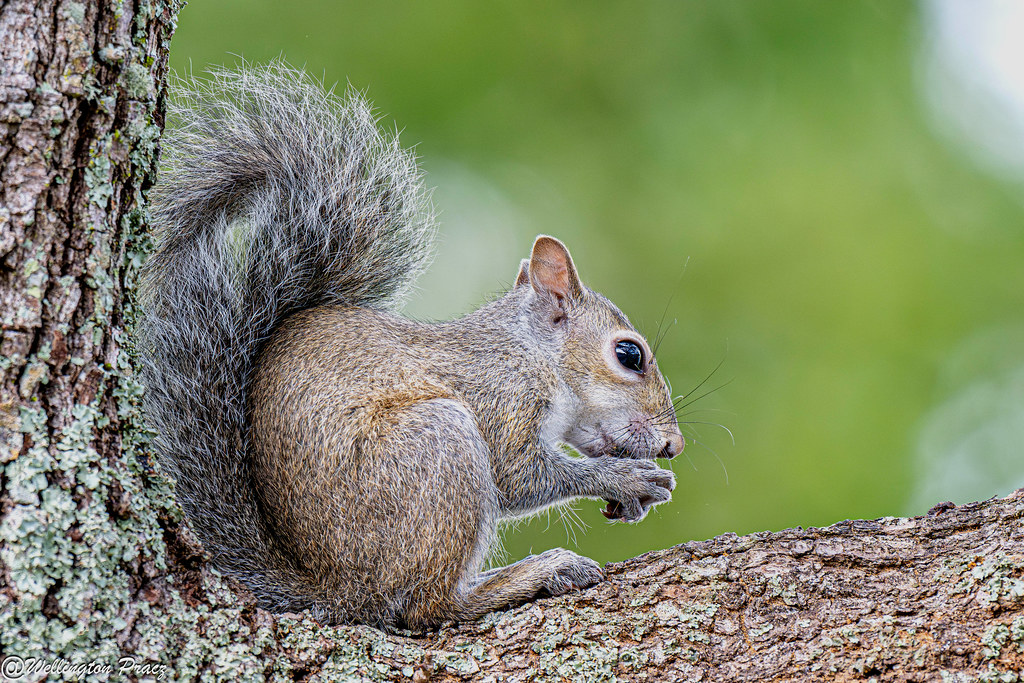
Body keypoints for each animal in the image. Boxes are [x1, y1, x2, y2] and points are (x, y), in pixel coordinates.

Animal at [140, 62, 685, 629]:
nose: (675, 445)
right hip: (436, 447)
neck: (531, 355)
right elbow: (518, 476)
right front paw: (625, 480)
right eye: (629, 355)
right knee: (429, 605)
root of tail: (336, 591)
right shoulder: (499, 397)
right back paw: (530, 574)